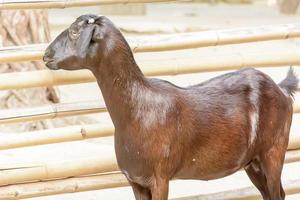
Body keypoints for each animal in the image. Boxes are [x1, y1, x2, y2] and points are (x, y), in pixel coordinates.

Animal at [43, 14, 298, 200]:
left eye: (74, 31)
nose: (46, 55)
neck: (136, 109)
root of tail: (282, 90)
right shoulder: (136, 181)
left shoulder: (160, 178)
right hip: (252, 163)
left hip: (273, 152)